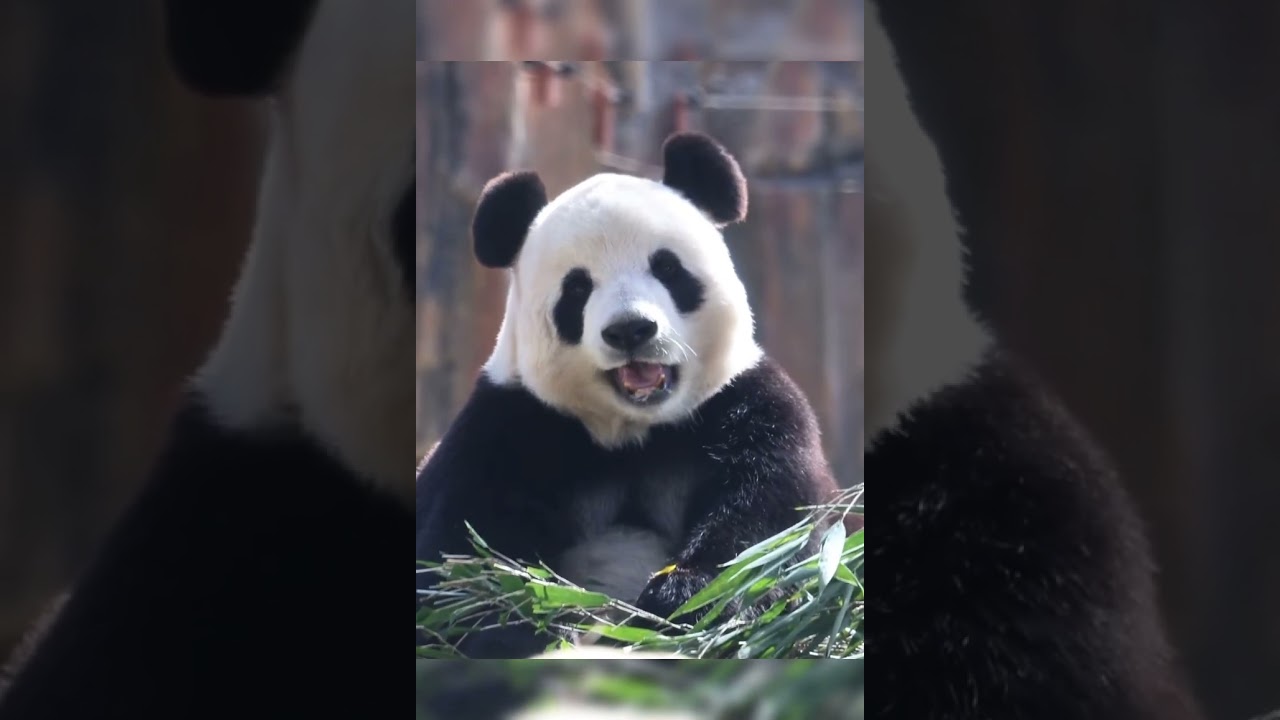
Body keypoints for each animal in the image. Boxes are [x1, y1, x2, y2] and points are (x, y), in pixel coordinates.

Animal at [414, 131, 843, 659]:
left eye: (667, 268)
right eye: (577, 288)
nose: (630, 329)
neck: (634, 430)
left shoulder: (746, 405)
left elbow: (770, 523)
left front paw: (684, 595)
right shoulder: (511, 427)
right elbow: (462, 561)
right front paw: (519, 621)